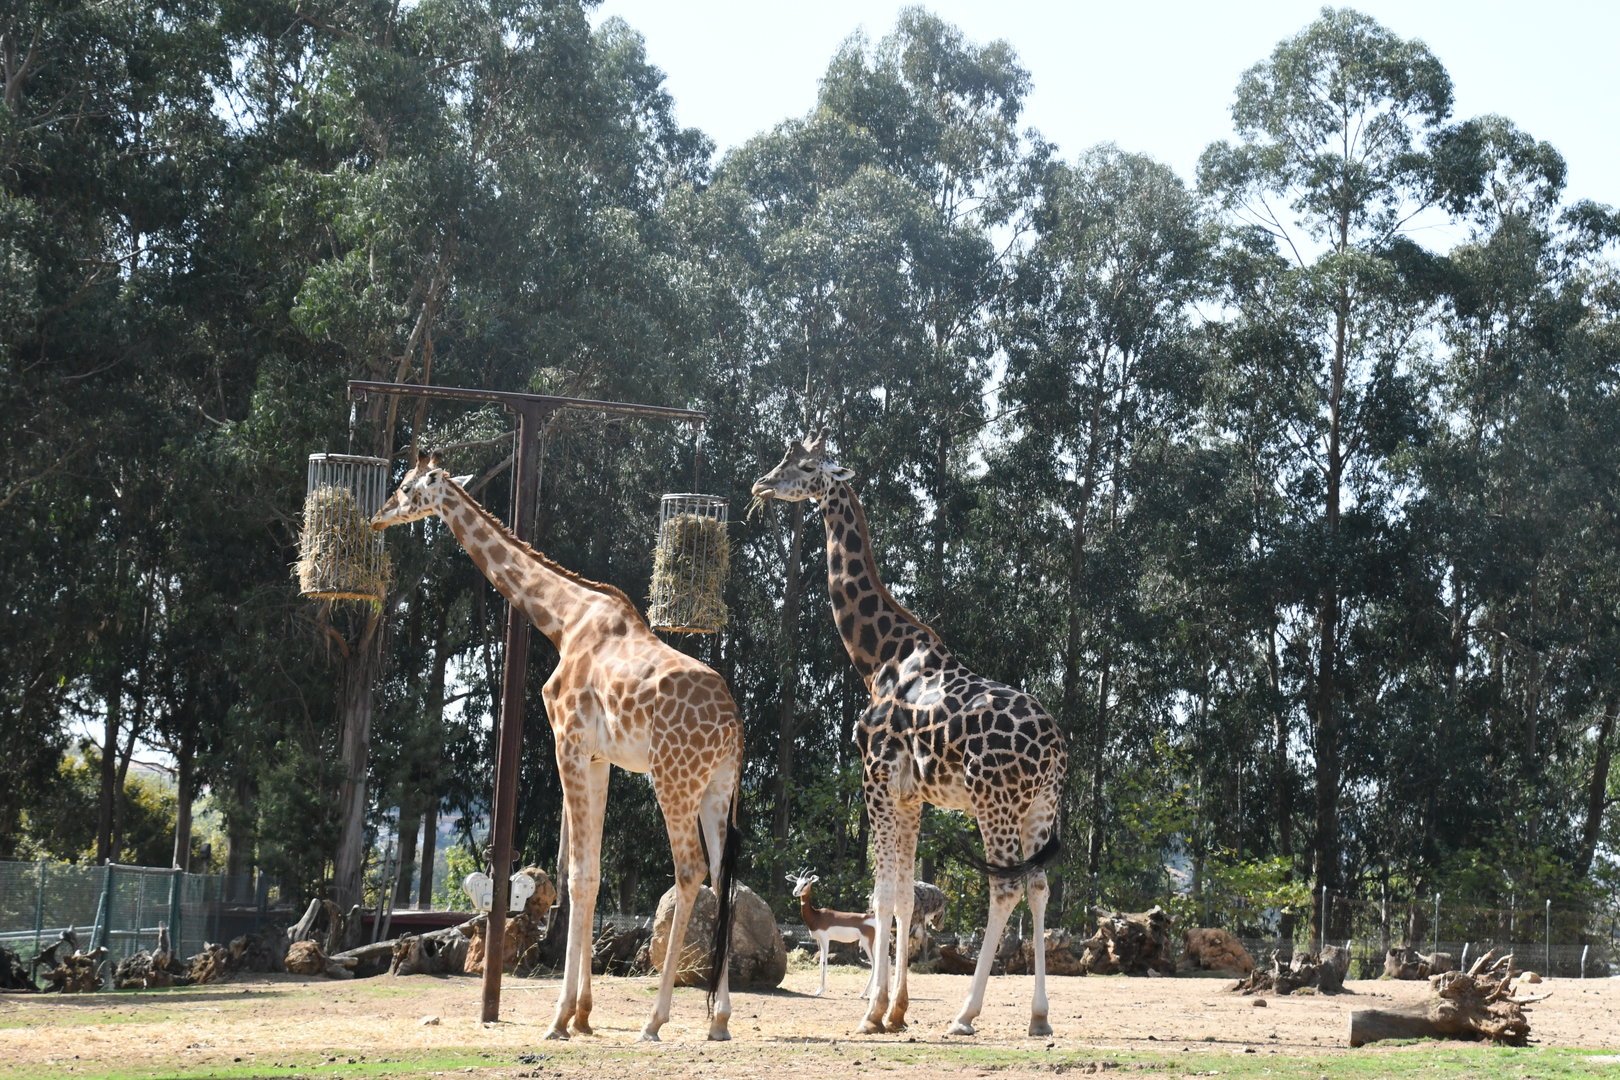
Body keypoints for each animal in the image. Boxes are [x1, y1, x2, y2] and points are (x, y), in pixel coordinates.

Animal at [372, 451, 743, 1042]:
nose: (378, 517)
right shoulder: (598, 757)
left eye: (408, 488)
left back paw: (655, 1020)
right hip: (717, 786)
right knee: (726, 875)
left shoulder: (565, 740)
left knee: (690, 870)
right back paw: (720, 1021)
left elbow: (579, 876)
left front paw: (561, 1017)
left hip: (673, 776)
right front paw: (582, 1015)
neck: (563, 621)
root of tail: (733, 723)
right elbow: (588, 877)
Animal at [752, 430, 1067, 1037]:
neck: (877, 657)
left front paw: (872, 1013)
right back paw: (1039, 1018)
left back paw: (966, 1015)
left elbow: (882, 896)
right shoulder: (910, 794)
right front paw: (894, 1011)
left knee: (1005, 887)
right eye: (783, 459)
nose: (760, 485)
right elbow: (900, 897)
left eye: (805, 467)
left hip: (994, 801)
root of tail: (1055, 751)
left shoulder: (874, 778)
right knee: (1039, 887)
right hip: (1040, 805)